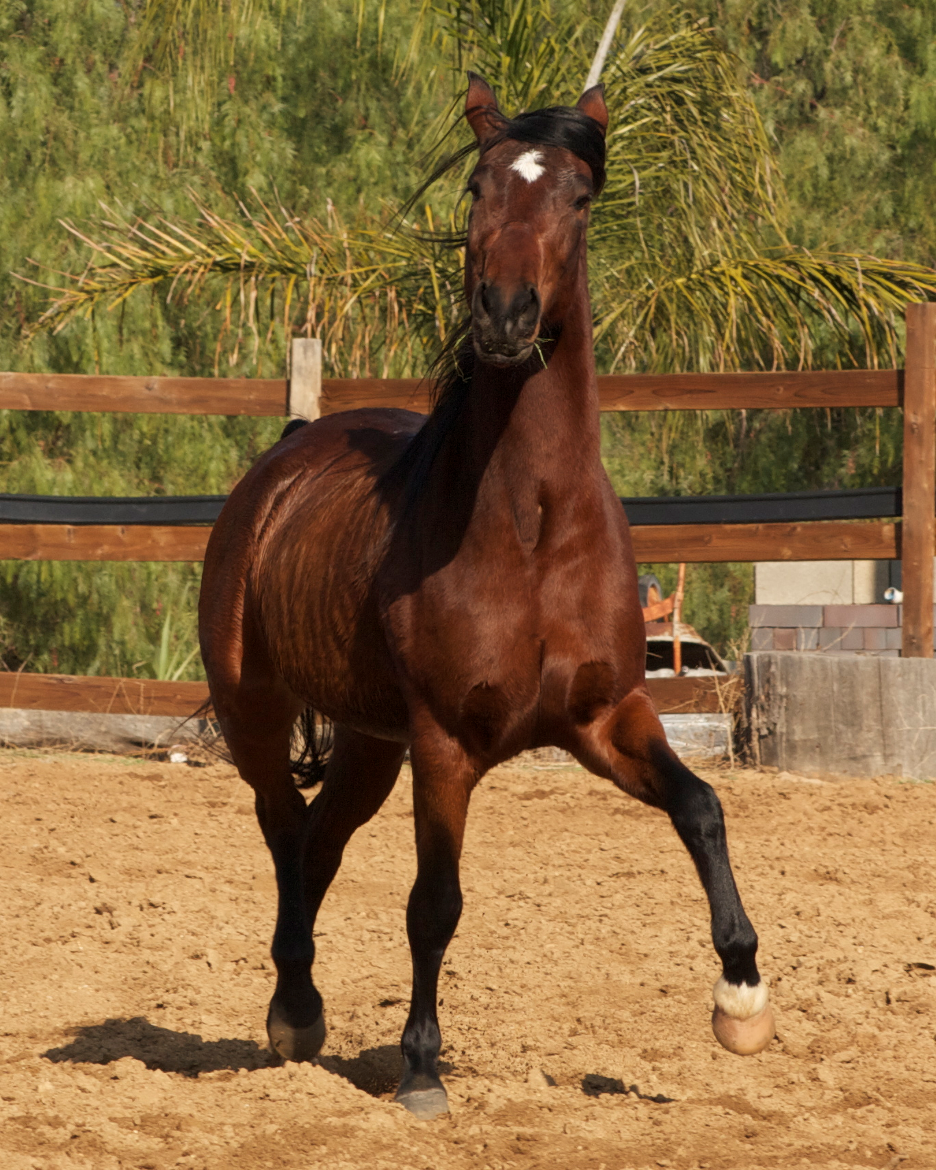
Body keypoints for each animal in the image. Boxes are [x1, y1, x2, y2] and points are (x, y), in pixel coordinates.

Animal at [198, 74, 774, 1121]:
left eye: (579, 197)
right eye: (477, 186)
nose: (505, 314)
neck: (532, 527)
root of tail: (282, 465)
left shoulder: (606, 718)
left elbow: (701, 807)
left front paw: (742, 996)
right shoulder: (444, 745)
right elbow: (435, 904)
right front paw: (422, 1068)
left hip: (369, 745)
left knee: (318, 841)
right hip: (257, 714)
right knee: (282, 829)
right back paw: (294, 1011)